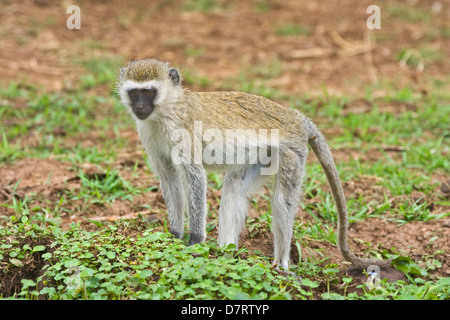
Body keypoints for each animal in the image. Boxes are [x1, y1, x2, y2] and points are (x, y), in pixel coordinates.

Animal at [118, 58, 390, 270]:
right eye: (134, 92)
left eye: (149, 92)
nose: (139, 106)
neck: (166, 109)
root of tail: (295, 116)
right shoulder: (149, 133)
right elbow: (170, 178)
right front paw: (174, 235)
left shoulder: (181, 129)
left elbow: (195, 176)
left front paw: (194, 241)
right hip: (264, 156)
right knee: (234, 188)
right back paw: (226, 253)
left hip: (292, 152)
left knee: (282, 201)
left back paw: (282, 265)